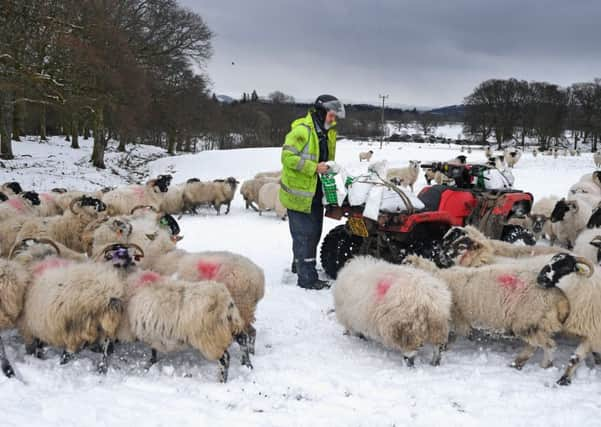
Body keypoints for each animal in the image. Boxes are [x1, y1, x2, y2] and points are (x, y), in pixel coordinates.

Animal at [406, 254, 568, 372]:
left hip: (527, 321)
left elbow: (450, 337)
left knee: (549, 345)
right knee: (534, 345)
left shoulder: (455, 318)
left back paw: (545, 365)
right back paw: (518, 363)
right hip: (533, 324)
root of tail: (559, 297)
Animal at [532, 252, 596, 386]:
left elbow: (576, 358)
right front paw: (563, 379)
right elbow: (574, 358)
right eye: (551, 260)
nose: (540, 279)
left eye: (566, 268)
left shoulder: (593, 333)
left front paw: (564, 380)